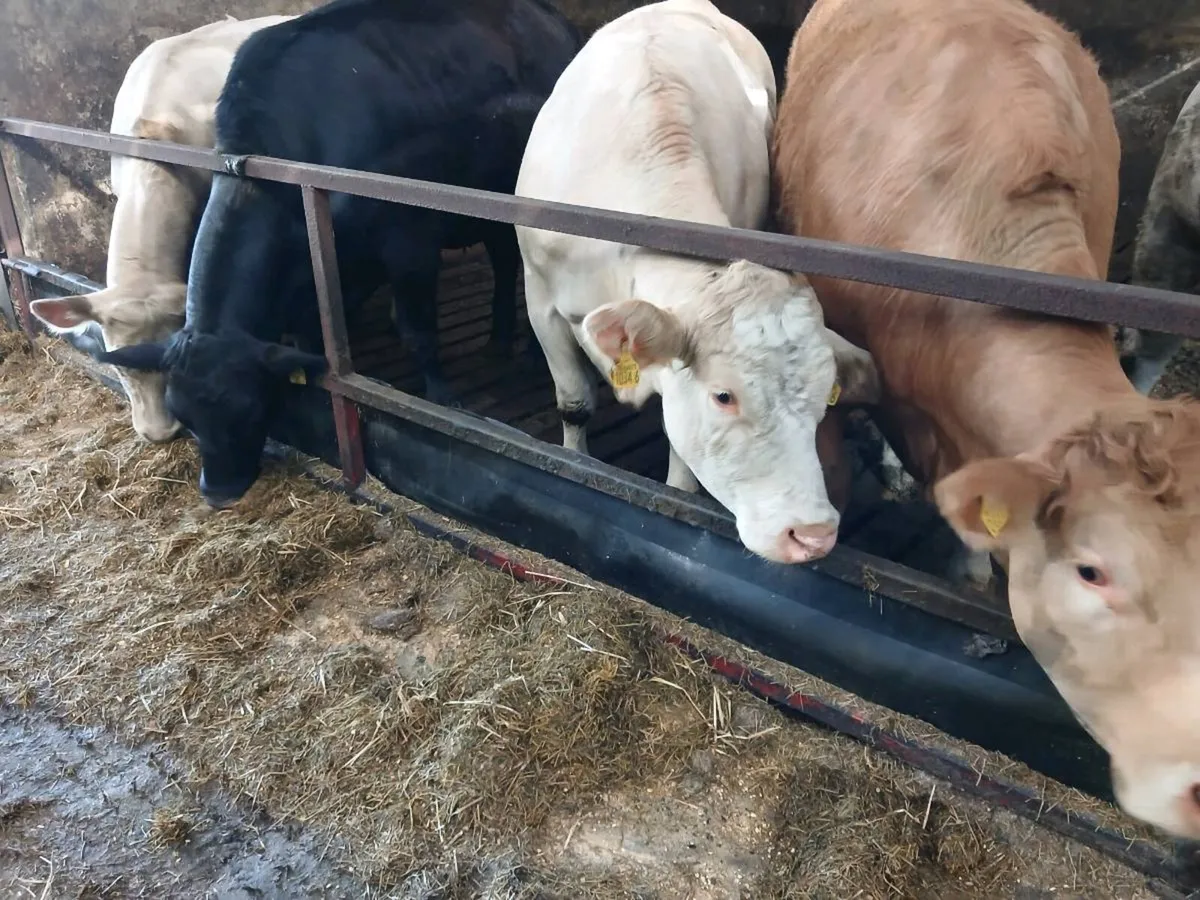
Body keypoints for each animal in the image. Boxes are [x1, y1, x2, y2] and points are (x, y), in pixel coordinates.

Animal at [93, 0, 582, 508]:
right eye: (184, 414)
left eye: (248, 407)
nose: (218, 491)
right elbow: (314, 339)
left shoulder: (409, 244)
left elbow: (418, 333)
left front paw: (442, 399)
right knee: (504, 261)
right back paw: (500, 339)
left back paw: (526, 352)